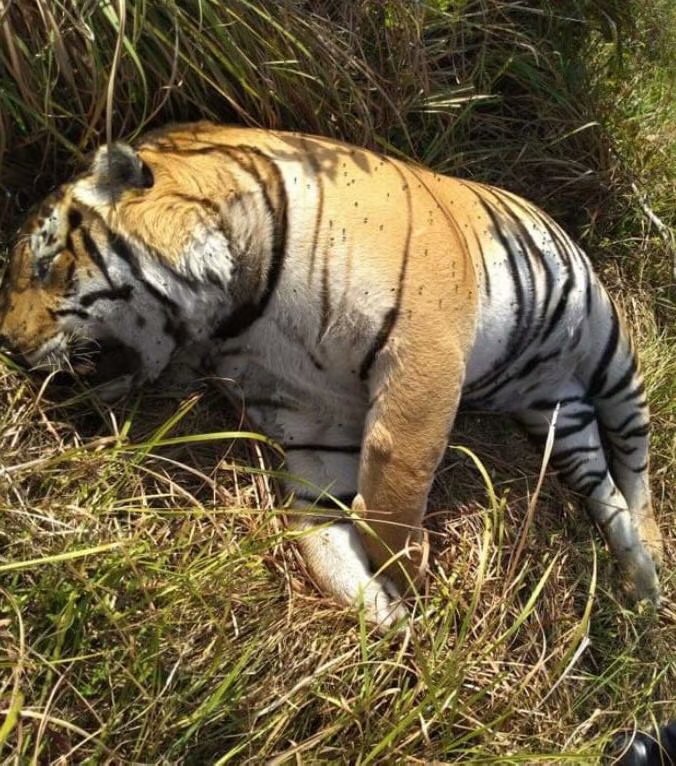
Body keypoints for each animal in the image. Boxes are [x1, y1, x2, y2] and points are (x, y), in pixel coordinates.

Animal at [0, 123, 664, 632]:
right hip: (555, 413)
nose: (7, 345)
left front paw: (410, 576)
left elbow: (391, 486)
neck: (236, 315)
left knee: (635, 464)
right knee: (600, 481)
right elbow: (321, 534)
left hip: (610, 351)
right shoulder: (316, 425)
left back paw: (654, 559)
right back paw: (637, 574)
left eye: (46, 263)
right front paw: (386, 612)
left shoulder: (424, 349)